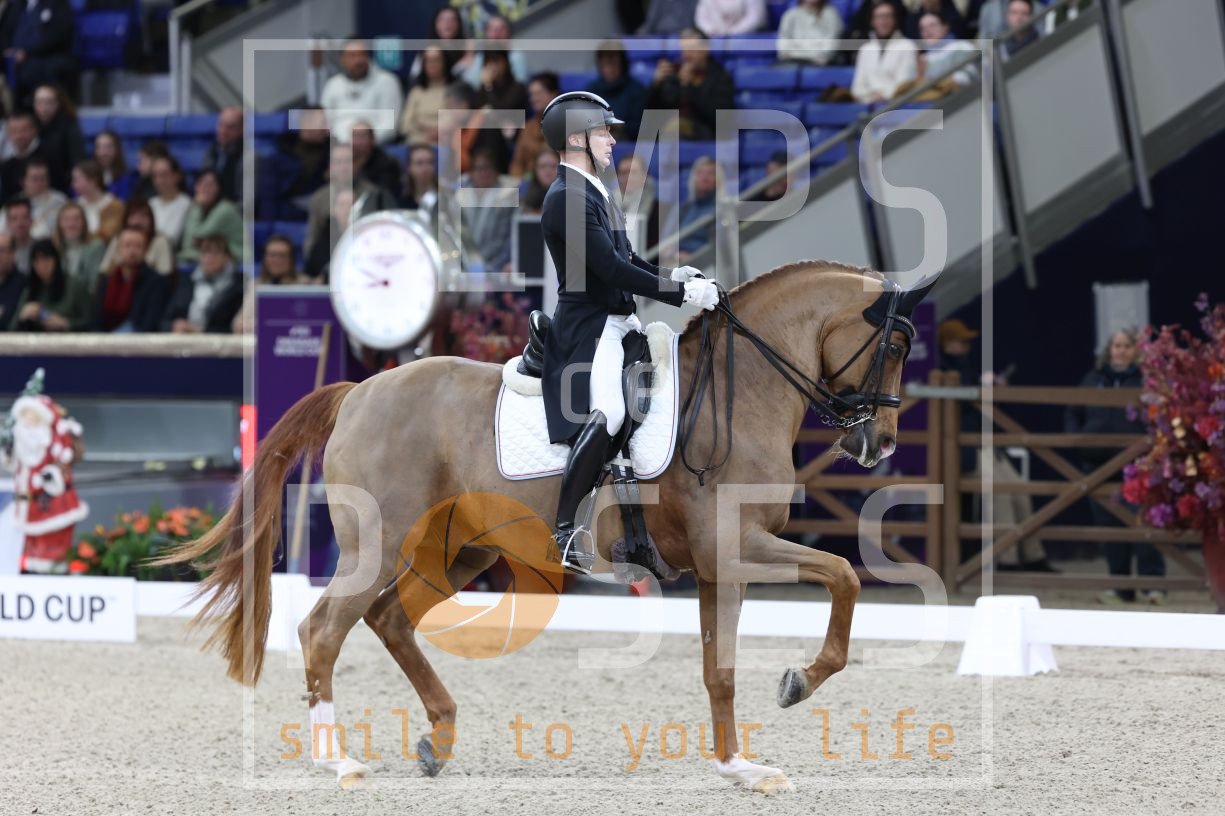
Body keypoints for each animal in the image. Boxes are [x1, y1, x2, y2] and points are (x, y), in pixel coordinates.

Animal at [157, 260, 930, 794]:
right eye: (894, 344)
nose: (881, 443)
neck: (736, 397)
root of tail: (360, 390)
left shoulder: (718, 566)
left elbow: (720, 671)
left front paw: (739, 767)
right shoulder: (737, 550)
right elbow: (844, 576)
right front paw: (800, 680)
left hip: (456, 554)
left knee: (389, 619)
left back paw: (439, 737)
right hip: (377, 546)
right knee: (324, 629)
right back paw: (338, 762)